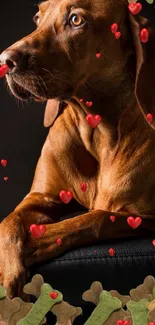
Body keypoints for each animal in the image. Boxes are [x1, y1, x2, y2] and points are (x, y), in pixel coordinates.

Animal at [0, 0, 155, 296]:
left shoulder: (144, 216)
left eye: (75, 20)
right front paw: (8, 267)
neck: (96, 131)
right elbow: (8, 221)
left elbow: (94, 218)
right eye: (37, 18)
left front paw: (36, 241)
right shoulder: (40, 197)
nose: (5, 60)